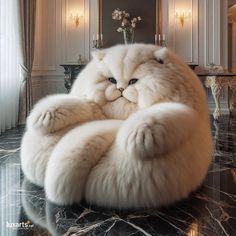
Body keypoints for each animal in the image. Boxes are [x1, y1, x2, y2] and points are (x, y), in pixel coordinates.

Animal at [20, 43, 212, 208]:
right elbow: (79, 103)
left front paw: (137, 136)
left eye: (133, 81)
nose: (120, 88)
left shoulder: (180, 110)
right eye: (112, 80)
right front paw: (45, 115)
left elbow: (159, 117)